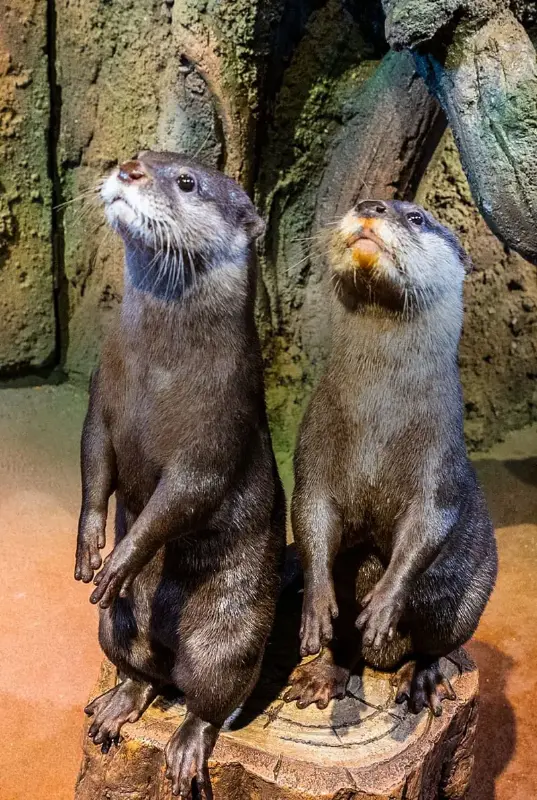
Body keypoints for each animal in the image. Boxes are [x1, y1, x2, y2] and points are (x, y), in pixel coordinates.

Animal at [74, 151, 285, 799]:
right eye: (144, 154)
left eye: (188, 182)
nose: (129, 169)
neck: (159, 366)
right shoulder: (103, 392)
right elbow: (95, 460)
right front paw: (90, 546)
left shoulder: (220, 422)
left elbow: (184, 495)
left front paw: (121, 560)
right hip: (116, 629)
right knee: (140, 669)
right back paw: (117, 704)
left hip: (228, 635)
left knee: (209, 696)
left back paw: (187, 746)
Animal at [285, 199, 497, 715]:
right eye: (358, 202)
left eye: (418, 217)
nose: (370, 206)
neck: (379, 416)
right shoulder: (316, 445)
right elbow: (310, 511)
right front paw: (315, 604)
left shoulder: (441, 457)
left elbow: (428, 524)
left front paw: (382, 606)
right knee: (345, 642)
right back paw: (322, 674)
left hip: (467, 603)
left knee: (433, 646)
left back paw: (420, 680)